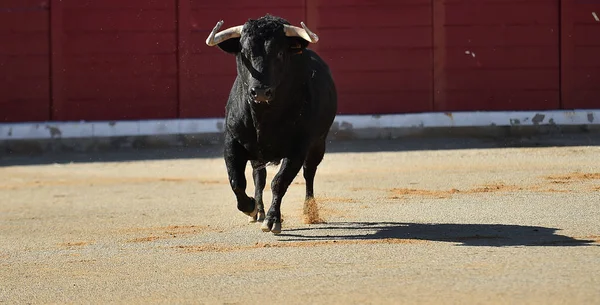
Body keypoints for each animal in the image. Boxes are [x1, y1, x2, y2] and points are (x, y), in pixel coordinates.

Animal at [206, 14, 338, 233]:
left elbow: (280, 182)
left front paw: (273, 219)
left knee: (309, 173)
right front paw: (251, 208)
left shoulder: (298, 148)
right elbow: (236, 181)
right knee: (259, 177)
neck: (264, 117)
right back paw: (259, 210)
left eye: (279, 53)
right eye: (244, 53)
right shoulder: (232, 142)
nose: (260, 92)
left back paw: (309, 211)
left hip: (319, 144)